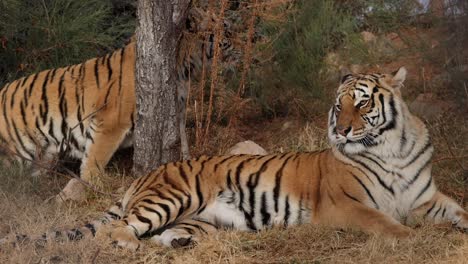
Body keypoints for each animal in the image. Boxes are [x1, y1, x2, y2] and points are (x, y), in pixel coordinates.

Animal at [0, 8, 238, 202]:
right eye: (227, 30)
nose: (241, 45)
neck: (184, 67)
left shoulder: (177, 111)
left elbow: (182, 141)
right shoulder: (110, 123)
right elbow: (94, 161)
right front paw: (97, 189)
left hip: (42, 157)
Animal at [1, 66, 466, 250]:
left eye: (363, 102)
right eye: (340, 105)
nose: (341, 130)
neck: (393, 149)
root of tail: (147, 174)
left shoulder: (426, 198)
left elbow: (460, 210)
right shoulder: (347, 206)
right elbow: (387, 224)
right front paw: (414, 239)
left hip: (196, 217)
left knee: (161, 233)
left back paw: (180, 242)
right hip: (169, 198)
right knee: (118, 228)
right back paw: (128, 244)